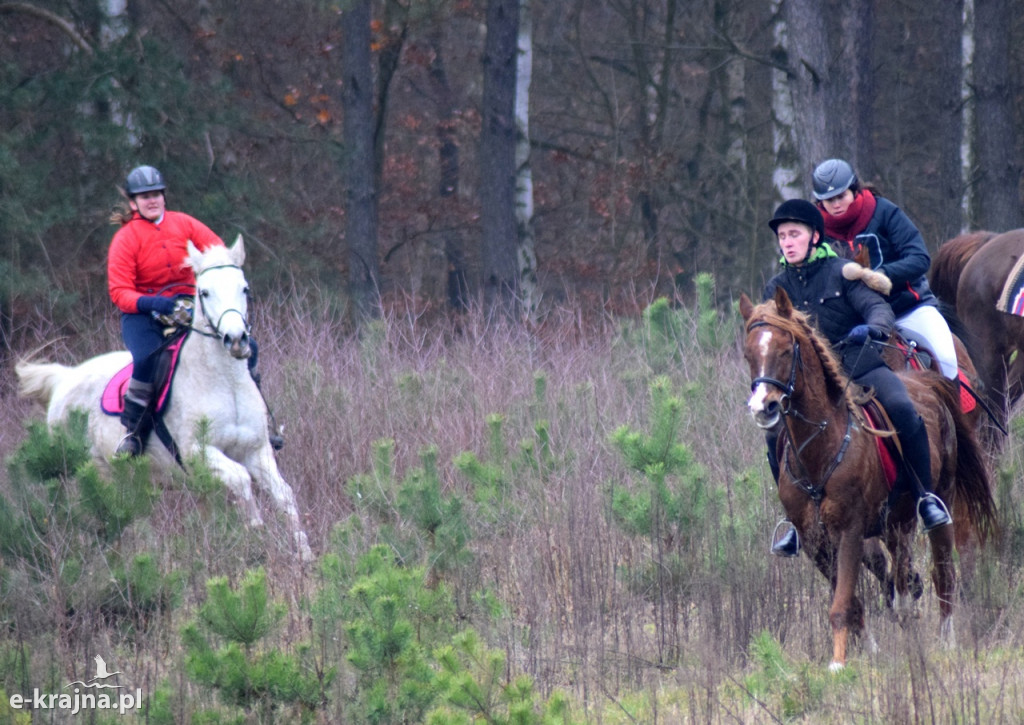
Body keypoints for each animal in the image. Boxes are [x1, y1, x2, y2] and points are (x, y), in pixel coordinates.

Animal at [14, 236, 311, 561]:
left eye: (244, 288)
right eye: (204, 292)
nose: (236, 340)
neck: (224, 384)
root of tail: (63, 380)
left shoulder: (257, 450)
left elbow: (284, 495)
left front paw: (304, 553)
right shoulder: (199, 453)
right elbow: (242, 480)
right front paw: (256, 526)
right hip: (96, 472)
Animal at [741, 286, 995, 667]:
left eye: (786, 350)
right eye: (748, 354)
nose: (763, 407)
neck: (822, 448)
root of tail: (926, 382)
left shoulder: (849, 529)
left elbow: (843, 600)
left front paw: (837, 664)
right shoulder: (816, 541)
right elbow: (851, 599)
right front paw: (866, 650)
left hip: (941, 498)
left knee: (943, 570)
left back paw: (945, 639)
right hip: (897, 519)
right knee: (902, 567)